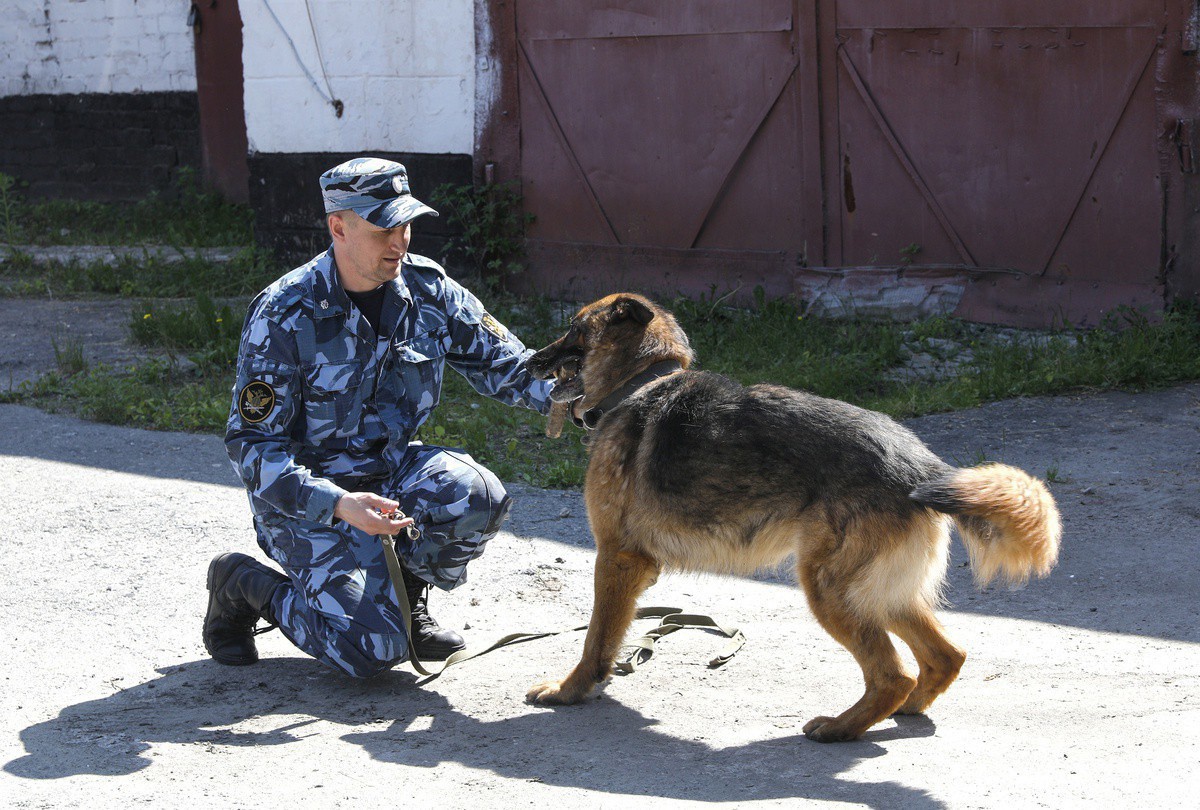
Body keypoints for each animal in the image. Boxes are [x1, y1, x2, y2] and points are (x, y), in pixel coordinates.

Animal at [525, 295, 1060, 744]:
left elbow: (596, 639)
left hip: (830, 589)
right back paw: (904, 709)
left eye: (574, 330)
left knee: (893, 674)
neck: (643, 383)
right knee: (945, 657)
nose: (529, 361)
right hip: (881, 594)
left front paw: (570, 691)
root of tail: (923, 468)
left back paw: (841, 727)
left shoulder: (617, 559)